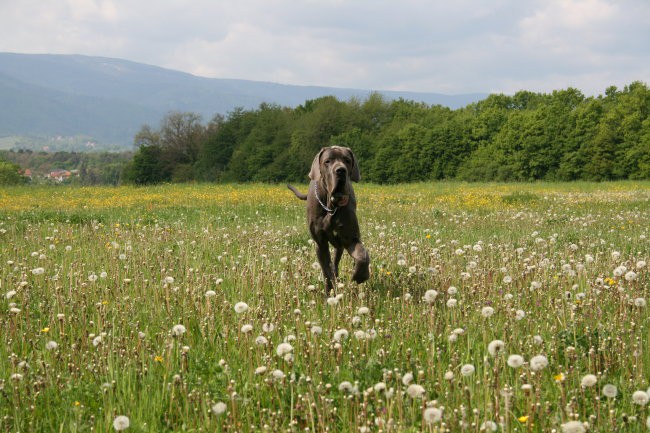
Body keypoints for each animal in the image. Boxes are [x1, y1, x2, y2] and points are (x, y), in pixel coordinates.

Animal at [288, 146, 370, 294]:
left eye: (347, 160)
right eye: (327, 161)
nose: (341, 170)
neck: (331, 204)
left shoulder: (351, 239)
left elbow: (363, 256)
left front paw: (360, 276)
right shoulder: (320, 243)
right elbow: (326, 271)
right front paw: (329, 292)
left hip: (339, 245)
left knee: (336, 261)